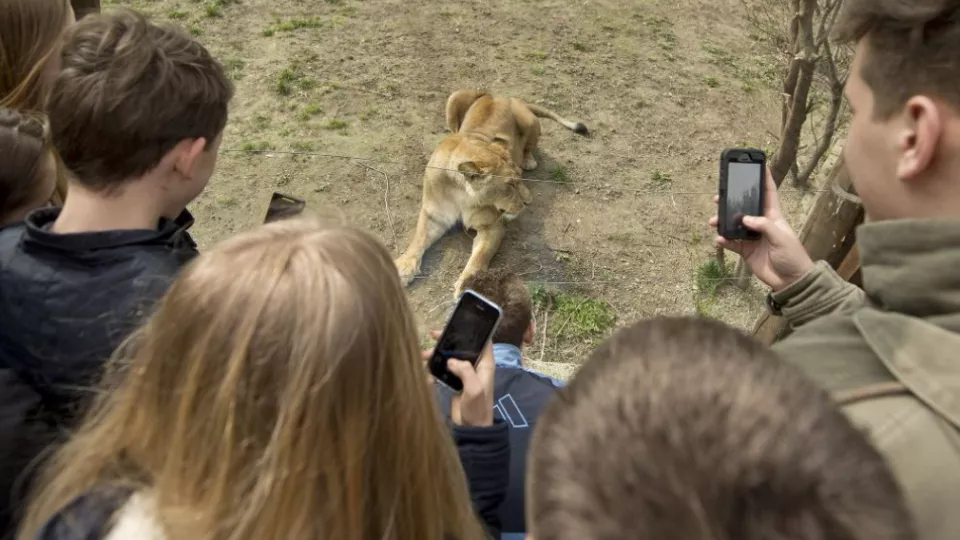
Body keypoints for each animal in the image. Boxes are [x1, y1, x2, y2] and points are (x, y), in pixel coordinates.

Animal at [394, 88, 588, 296]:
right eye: (509, 184)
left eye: (519, 178)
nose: (529, 202)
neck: (461, 194)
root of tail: (499, 95)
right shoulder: (433, 214)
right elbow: (418, 238)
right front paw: (403, 267)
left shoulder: (492, 227)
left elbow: (479, 258)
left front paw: (468, 285)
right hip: (454, 98)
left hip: (529, 122)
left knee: (530, 146)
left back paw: (529, 160)